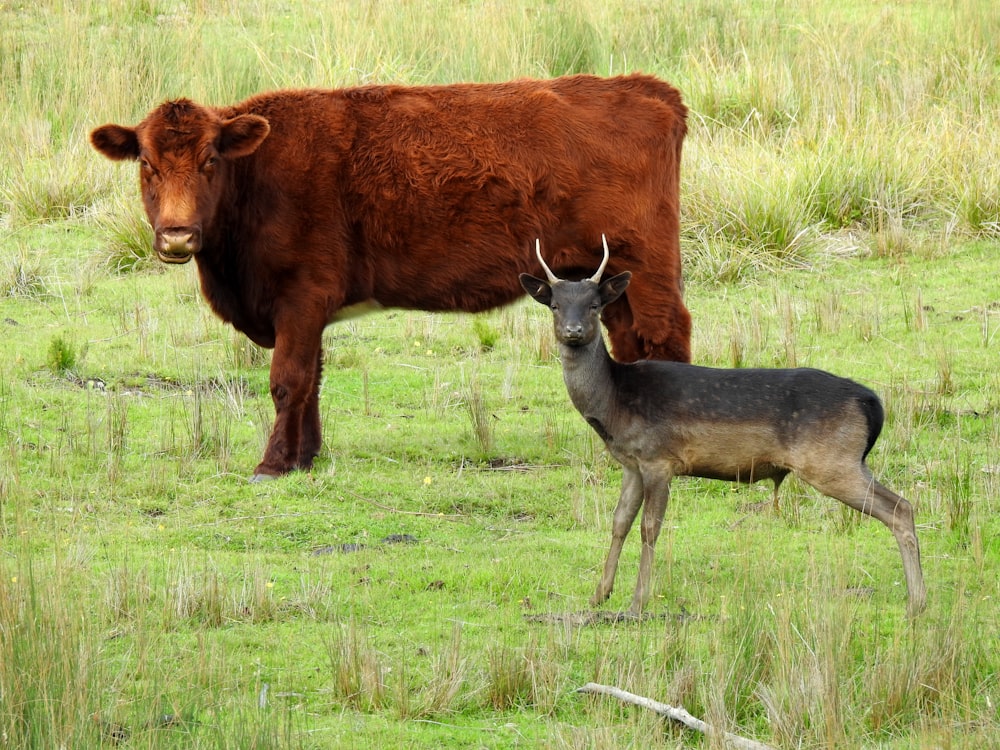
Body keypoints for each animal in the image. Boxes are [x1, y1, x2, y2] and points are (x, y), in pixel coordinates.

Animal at [92, 73, 688, 478]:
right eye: (146, 163)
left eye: (211, 160)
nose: (176, 236)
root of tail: (648, 89)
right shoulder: (307, 309)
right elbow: (313, 379)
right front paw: (306, 457)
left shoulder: (301, 297)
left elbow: (288, 380)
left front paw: (273, 463)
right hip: (609, 280)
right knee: (631, 340)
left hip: (646, 267)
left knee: (665, 334)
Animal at [520, 238, 924, 620]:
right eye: (555, 305)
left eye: (594, 305)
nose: (573, 331)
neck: (616, 403)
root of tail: (872, 402)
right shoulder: (631, 464)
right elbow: (619, 522)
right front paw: (599, 595)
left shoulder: (659, 459)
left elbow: (650, 527)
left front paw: (637, 603)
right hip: (847, 460)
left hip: (831, 460)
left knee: (900, 507)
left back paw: (916, 602)